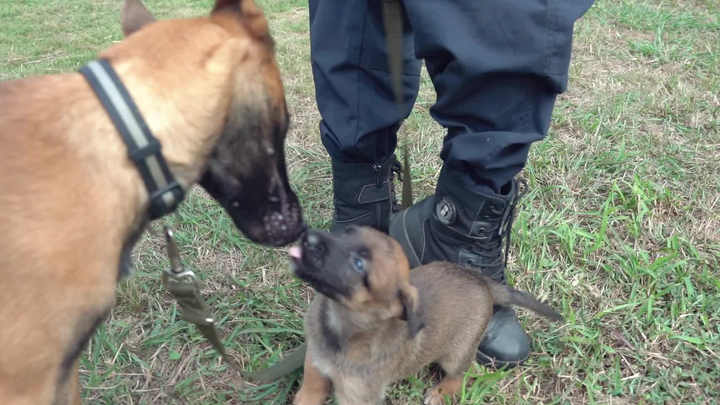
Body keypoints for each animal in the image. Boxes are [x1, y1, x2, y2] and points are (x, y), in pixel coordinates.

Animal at [286, 224, 564, 404]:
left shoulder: (358, 396)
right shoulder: (315, 358)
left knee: (462, 372)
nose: (308, 237)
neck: (342, 327)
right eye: (345, 233)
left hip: (457, 352)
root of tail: (483, 281)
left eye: (359, 264)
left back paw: (441, 392)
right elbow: (311, 387)